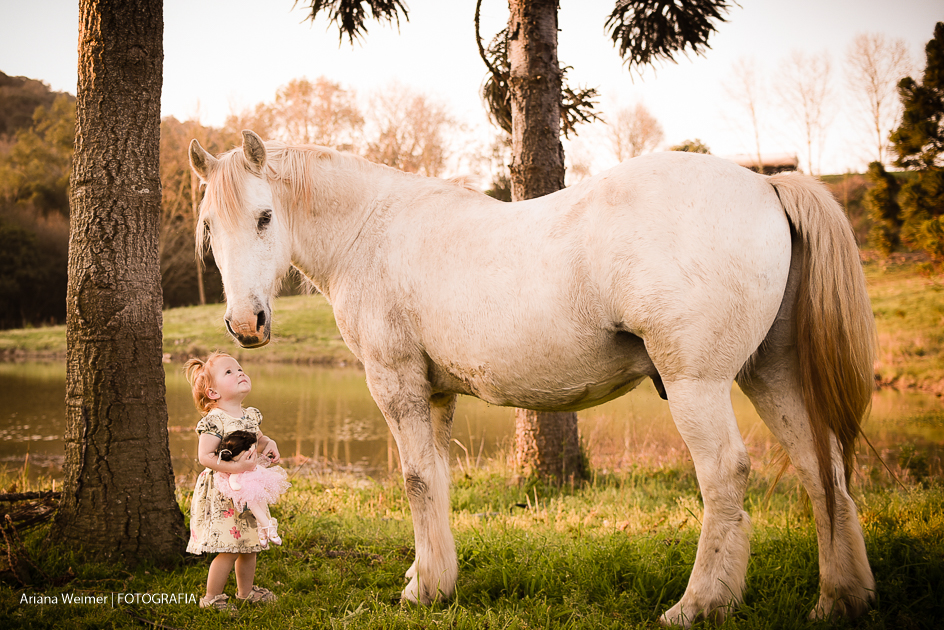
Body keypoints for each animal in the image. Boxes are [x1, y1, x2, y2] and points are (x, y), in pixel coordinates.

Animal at [189, 130, 876, 626]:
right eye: (210, 227)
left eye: (265, 217)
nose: (245, 323)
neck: (371, 231)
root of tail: (766, 185)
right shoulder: (436, 396)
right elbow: (436, 481)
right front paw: (429, 577)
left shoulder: (397, 385)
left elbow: (416, 482)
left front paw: (425, 591)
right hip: (773, 375)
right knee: (823, 471)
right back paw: (839, 599)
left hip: (697, 385)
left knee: (726, 476)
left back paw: (699, 604)